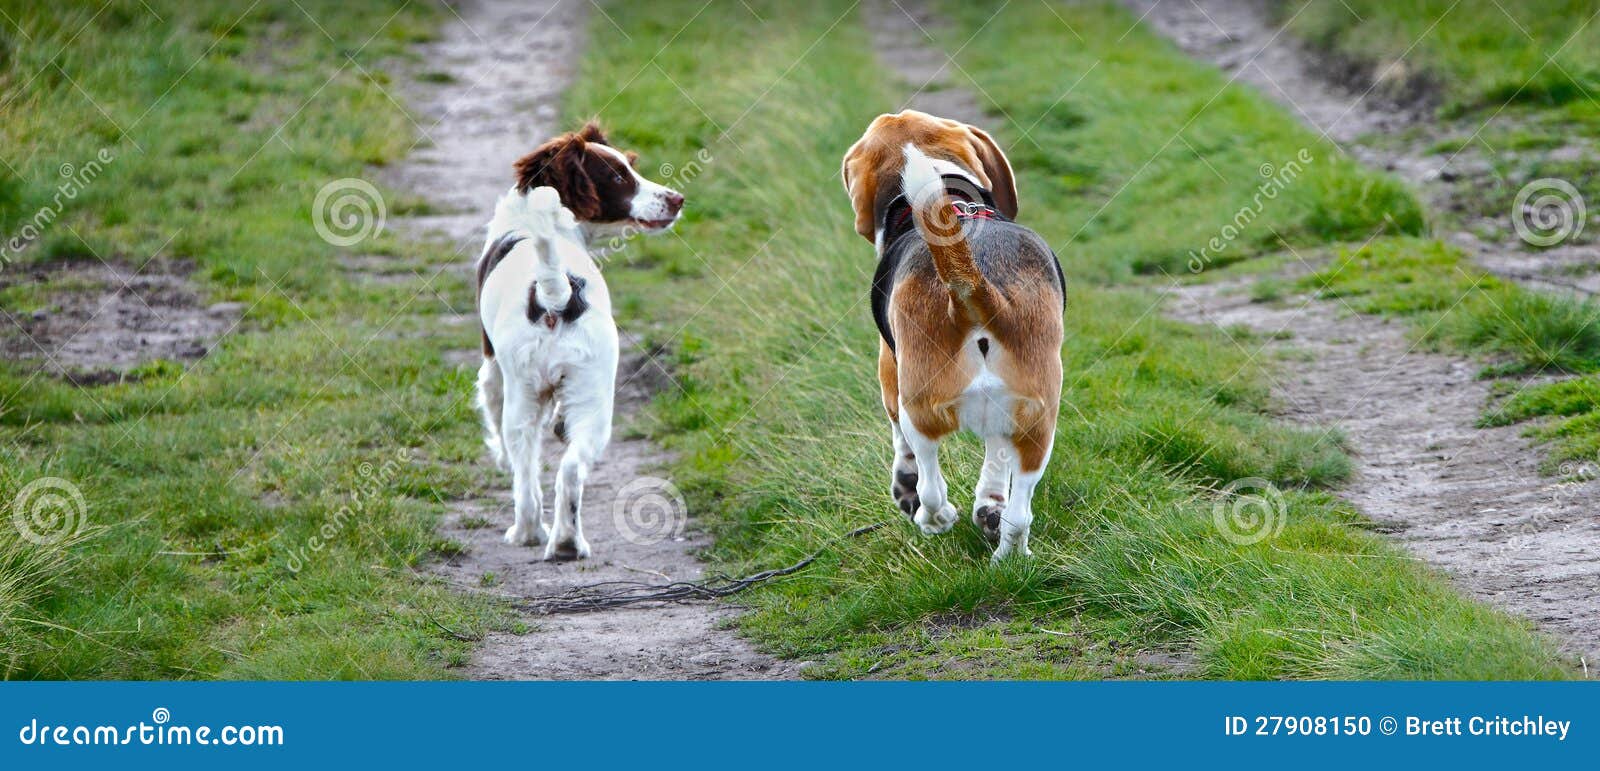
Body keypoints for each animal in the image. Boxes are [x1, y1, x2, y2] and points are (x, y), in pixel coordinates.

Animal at [467, 126, 681, 559]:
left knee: (527, 476)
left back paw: (530, 533)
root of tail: (555, 292)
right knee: (566, 470)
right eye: (618, 176)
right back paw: (564, 541)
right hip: (591, 396)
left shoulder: (492, 368)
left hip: (524, 395)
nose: (677, 200)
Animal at [844, 109, 1068, 559]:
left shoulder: (889, 374)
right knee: (1020, 512)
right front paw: (989, 505)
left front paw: (906, 490)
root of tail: (974, 288)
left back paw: (933, 517)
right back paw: (1008, 554)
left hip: (919, 405)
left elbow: (902, 451)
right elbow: (996, 466)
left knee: (929, 477)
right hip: (1037, 420)